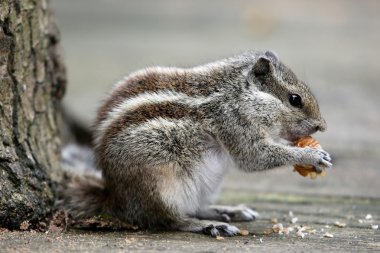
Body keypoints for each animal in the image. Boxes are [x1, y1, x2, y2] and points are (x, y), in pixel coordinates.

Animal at [61, 51, 330, 237]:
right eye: (294, 99)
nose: (322, 126)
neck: (237, 94)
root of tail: (115, 199)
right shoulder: (233, 123)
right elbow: (254, 157)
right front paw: (310, 156)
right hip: (160, 185)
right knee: (170, 220)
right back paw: (209, 225)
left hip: (204, 186)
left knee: (195, 207)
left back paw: (227, 211)